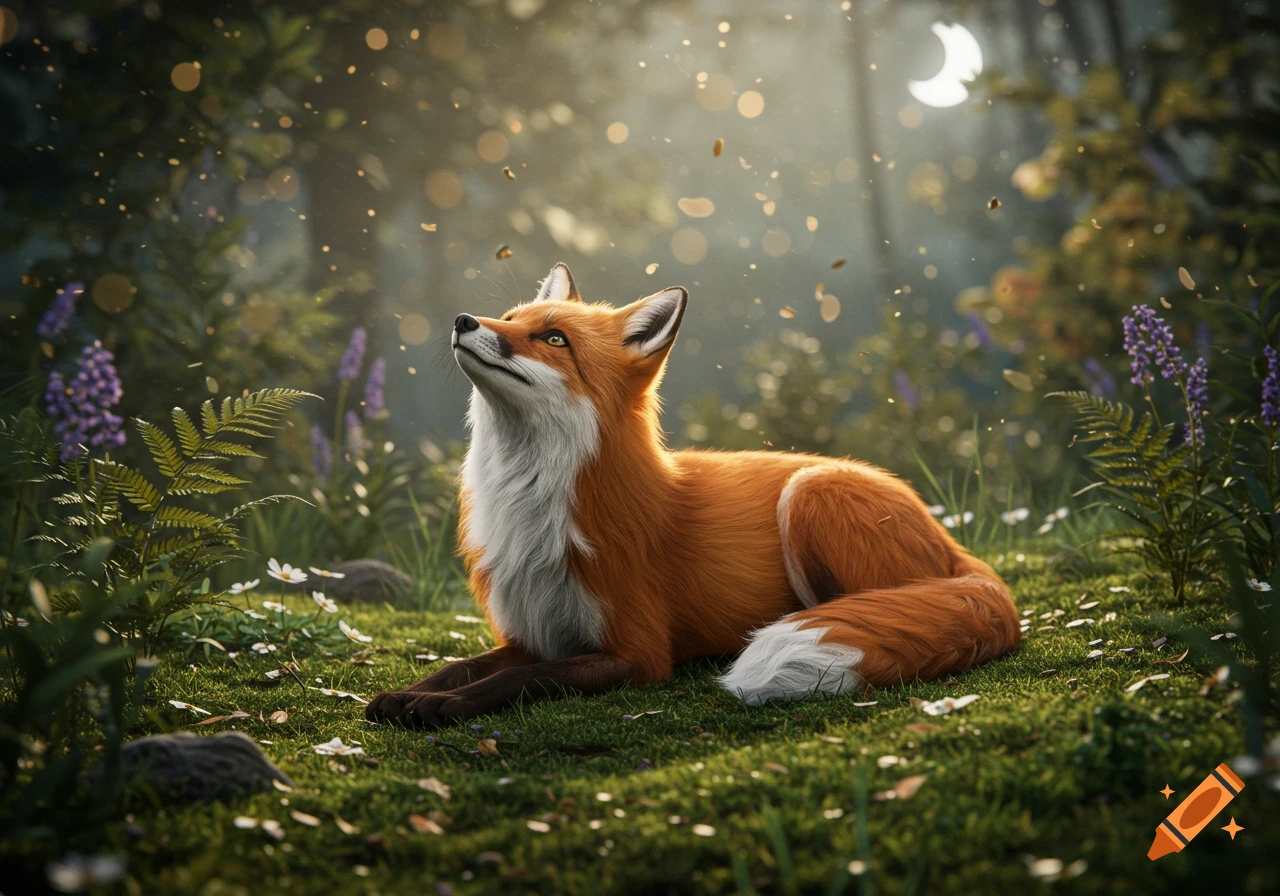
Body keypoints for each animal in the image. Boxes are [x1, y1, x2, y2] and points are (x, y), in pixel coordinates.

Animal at [367, 263, 1021, 727]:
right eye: (507, 316)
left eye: (553, 338)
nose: (464, 320)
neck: (531, 506)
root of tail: (953, 545)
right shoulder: (534, 634)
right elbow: (463, 666)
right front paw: (407, 696)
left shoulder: (638, 654)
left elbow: (521, 681)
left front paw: (445, 709)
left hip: (811, 493)